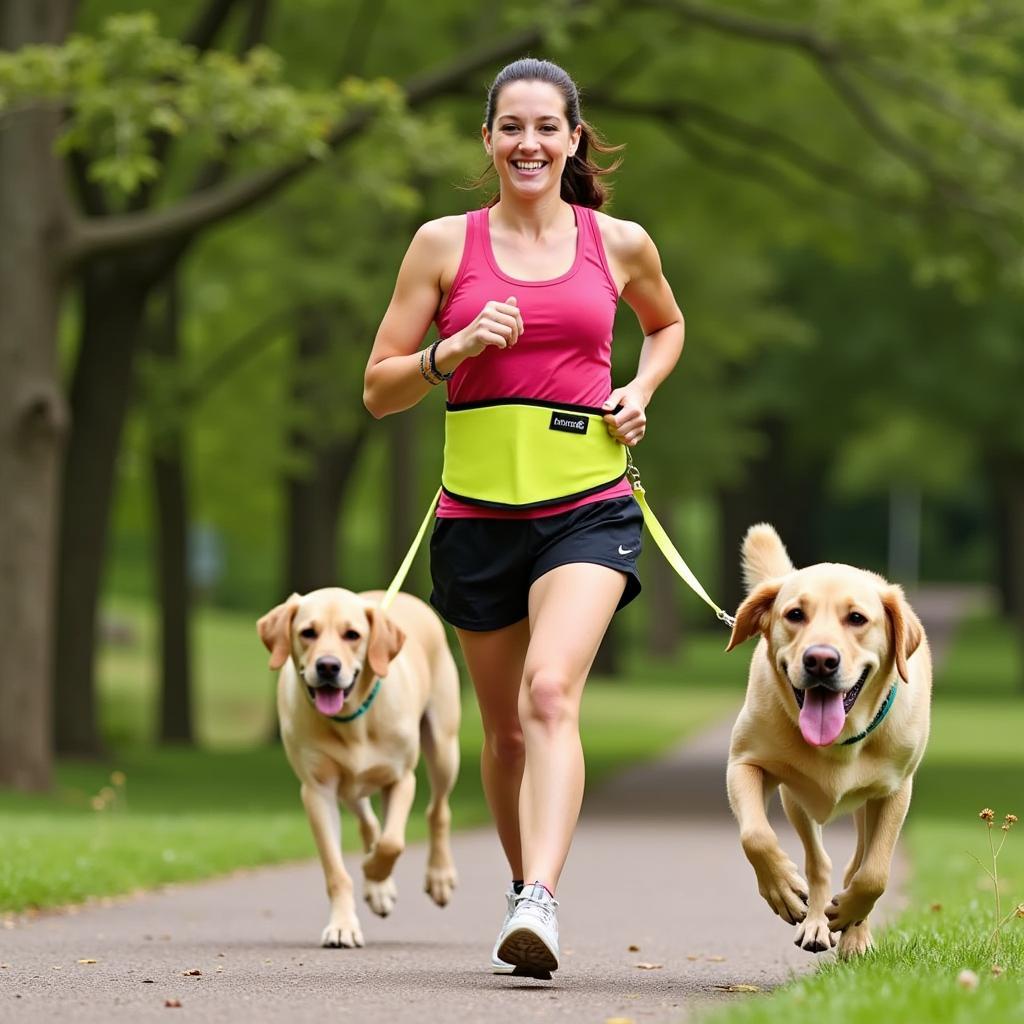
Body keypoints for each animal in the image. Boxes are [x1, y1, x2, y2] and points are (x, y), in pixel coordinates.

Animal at [258, 589, 462, 946]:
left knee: (438, 811)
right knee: (369, 822)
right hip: (349, 786)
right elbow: (337, 871)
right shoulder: (318, 792)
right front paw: (343, 924)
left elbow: (393, 843)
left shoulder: (401, 779)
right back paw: (379, 889)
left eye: (352, 635)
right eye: (307, 632)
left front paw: (374, 871)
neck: (352, 721)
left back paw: (438, 877)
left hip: (444, 747)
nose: (327, 666)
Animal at [724, 524, 933, 954]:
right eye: (795, 614)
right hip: (797, 799)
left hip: (864, 807)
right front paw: (782, 888)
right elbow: (756, 835)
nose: (820, 660)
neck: (840, 743)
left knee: (857, 863)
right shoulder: (745, 764)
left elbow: (874, 873)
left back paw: (853, 933)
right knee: (818, 862)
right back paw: (817, 923)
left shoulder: (895, 791)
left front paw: (852, 917)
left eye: (856, 618)